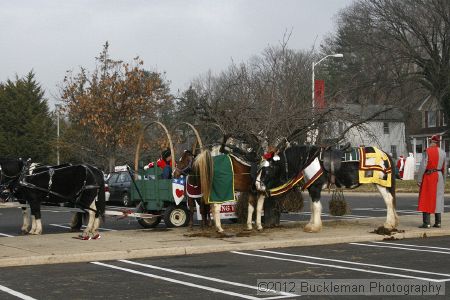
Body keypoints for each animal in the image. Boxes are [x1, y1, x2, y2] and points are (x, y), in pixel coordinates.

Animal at [258, 145, 400, 232]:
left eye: (268, 168)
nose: (257, 184)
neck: (308, 160)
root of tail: (385, 154)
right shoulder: (312, 189)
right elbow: (312, 207)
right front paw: (311, 225)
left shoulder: (315, 188)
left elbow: (316, 207)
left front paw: (315, 227)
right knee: (391, 200)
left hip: (382, 184)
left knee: (388, 201)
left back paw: (388, 224)